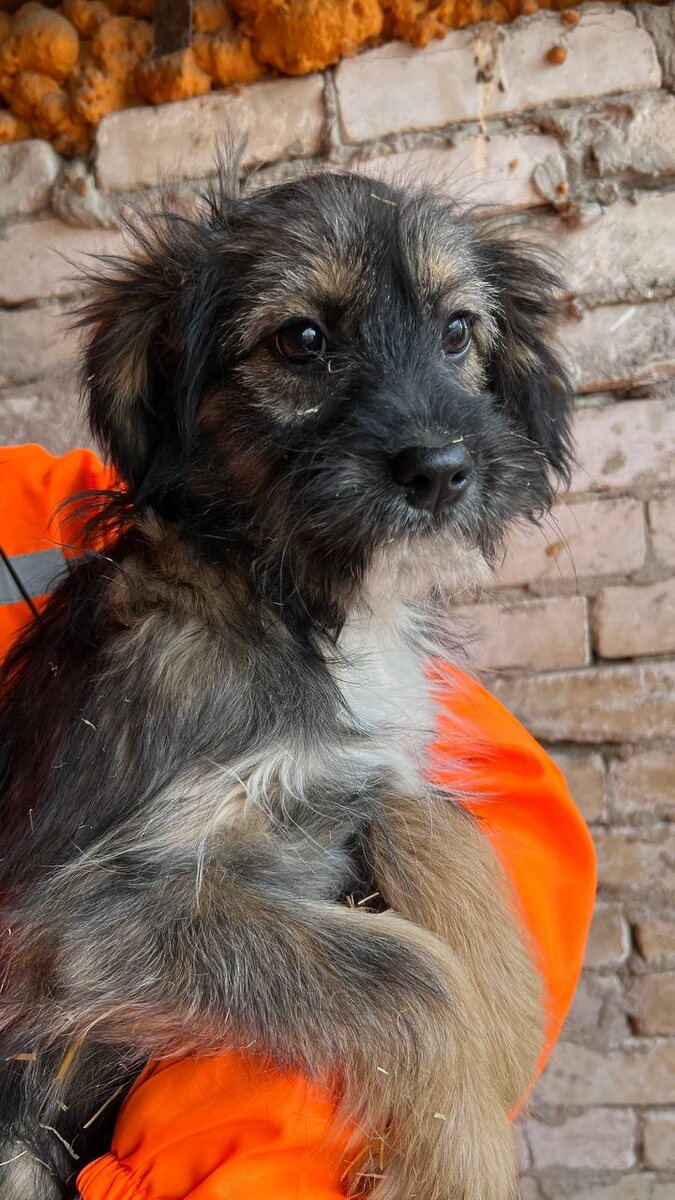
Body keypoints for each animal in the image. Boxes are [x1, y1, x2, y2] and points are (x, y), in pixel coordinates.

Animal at [0, 160, 573, 1199]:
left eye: (457, 331)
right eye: (301, 340)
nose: (442, 470)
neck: (296, 599)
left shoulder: (358, 767)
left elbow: (438, 822)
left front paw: (510, 1026)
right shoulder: (69, 918)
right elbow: (411, 974)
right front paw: (458, 1154)